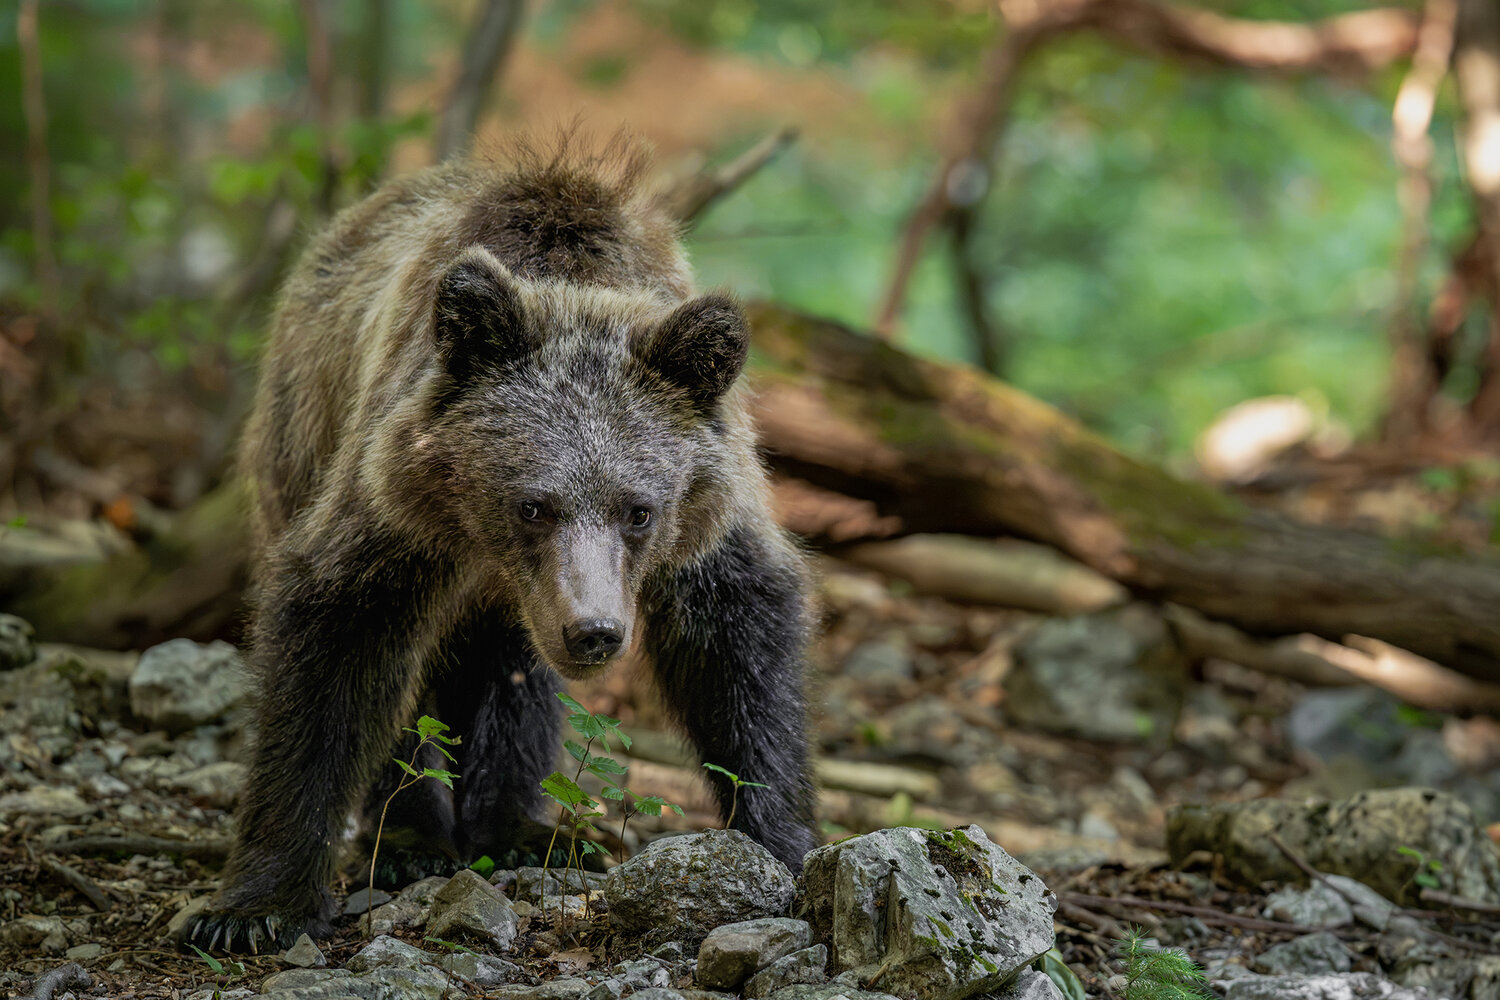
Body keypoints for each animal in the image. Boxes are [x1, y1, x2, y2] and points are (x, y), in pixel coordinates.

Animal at [184, 135, 818, 953]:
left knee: (509, 671)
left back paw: (516, 828)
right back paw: (412, 842)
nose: (594, 631)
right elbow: (336, 640)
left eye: (639, 510)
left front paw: (784, 841)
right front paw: (251, 908)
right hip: (298, 434)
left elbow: (740, 644)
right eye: (534, 505)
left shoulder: (708, 514)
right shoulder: (393, 501)